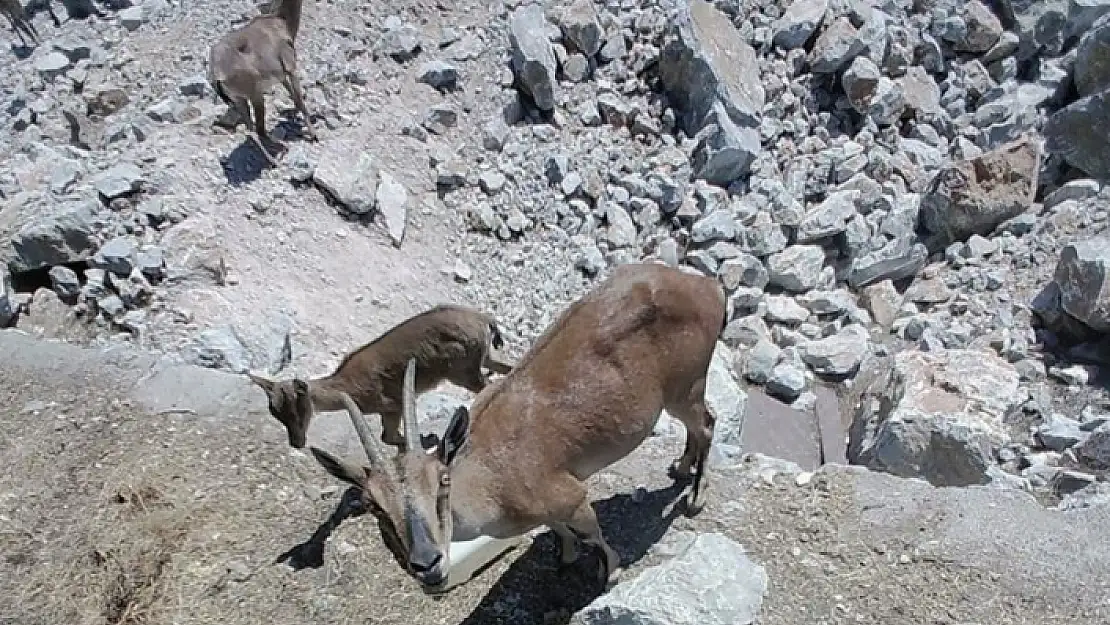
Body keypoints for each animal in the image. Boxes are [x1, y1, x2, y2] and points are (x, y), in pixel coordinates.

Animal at [207, 0, 317, 165]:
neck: (281, 22)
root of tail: (218, 75)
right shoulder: (291, 69)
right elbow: (300, 102)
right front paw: (314, 135)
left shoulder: (282, 77)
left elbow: (294, 98)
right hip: (256, 95)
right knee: (259, 131)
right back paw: (277, 156)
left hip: (240, 100)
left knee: (252, 131)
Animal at [248, 304, 510, 450]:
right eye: (275, 412)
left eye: (298, 409)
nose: (297, 442)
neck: (348, 389)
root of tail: (485, 320)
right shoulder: (388, 409)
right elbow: (388, 437)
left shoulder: (392, 403)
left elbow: (390, 436)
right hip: (481, 358)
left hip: (462, 371)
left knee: (489, 384)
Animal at [313, 263, 728, 590]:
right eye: (372, 505)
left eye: (442, 481)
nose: (428, 566)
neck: (491, 480)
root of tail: (708, 287)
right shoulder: (547, 510)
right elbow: (559, 530)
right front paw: (565, 555)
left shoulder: (570, 496)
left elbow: (593, 534)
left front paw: (607, 572)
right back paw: (680, 468)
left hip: (685, 386)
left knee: (707, 423)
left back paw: (695, 495)